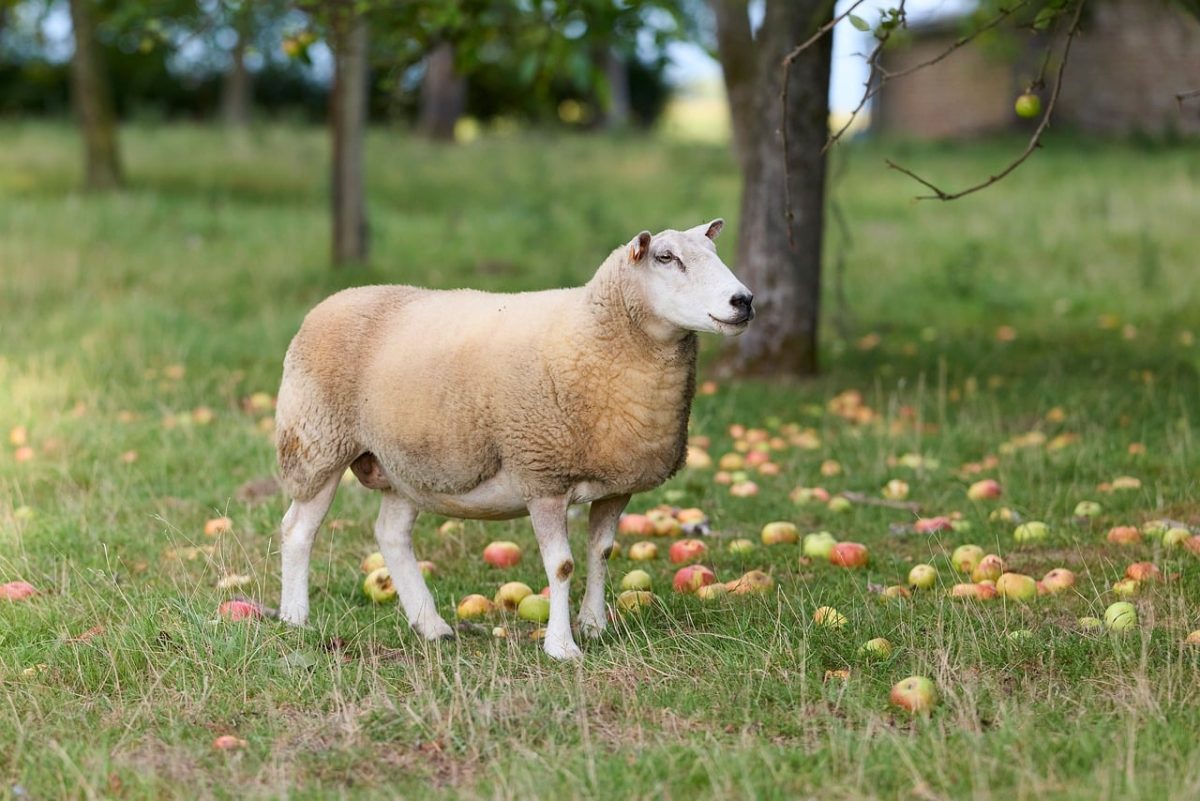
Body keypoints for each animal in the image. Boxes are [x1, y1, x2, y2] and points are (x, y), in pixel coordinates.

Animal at [274, 219, 754, 660]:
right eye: (666, 258)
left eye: (713, 252)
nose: (744, 300)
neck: (592, 330)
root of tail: (335, 300)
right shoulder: (543, 475)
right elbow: (562, 566)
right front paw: (562, 647)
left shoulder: (616, 482)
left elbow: (601, 552)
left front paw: (594, 625)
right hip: (317, 442)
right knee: (298, 530)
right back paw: (296, 618)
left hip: (407, 464)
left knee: (391, 534)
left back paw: (432, 626)